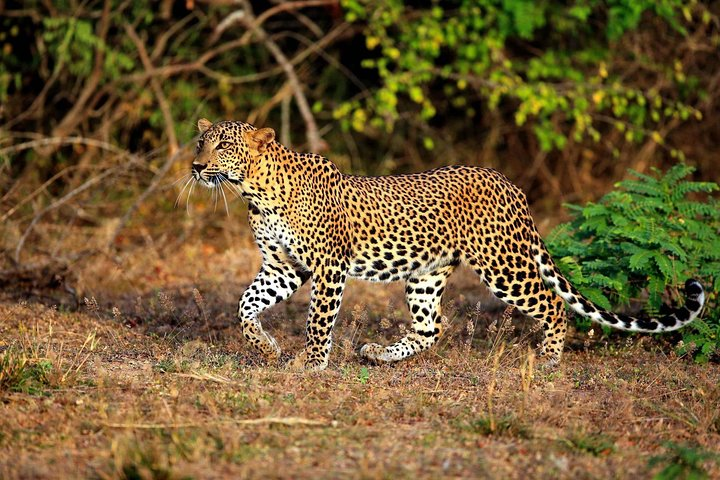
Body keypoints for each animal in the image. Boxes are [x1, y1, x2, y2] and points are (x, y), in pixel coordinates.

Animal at [188, 118, 704, 374]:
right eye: (199, 142)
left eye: (223, 146)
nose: (195, 166)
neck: (254, 192)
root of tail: (509, 183)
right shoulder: (283, 266)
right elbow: (245, 306)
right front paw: (266, 347)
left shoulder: (328, 266)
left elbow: (317, 321)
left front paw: (310, 363)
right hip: (425, 273)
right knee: (432, 327)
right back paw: (379, 355)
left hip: (504, 265)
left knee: (553, 305)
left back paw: (550, 359)